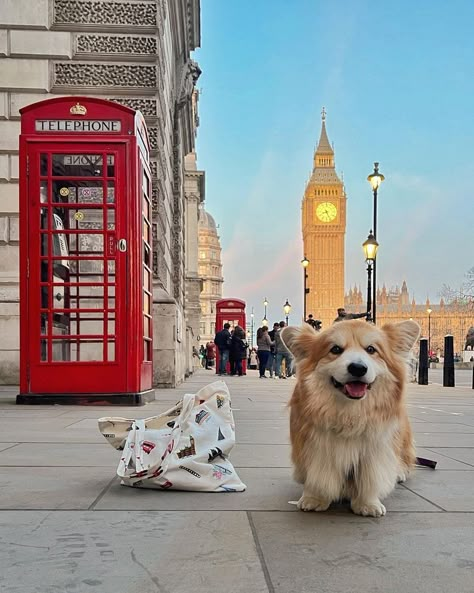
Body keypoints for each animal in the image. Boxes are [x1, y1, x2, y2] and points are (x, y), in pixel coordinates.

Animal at [280, 316, 420, 516]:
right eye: (335, 349)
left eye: (371, 349)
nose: (358, 368)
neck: (349, 413)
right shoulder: (316, 446)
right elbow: (318, 474)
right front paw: (314, 499)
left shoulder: (373, 451)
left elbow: (370, 478)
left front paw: (368, 504)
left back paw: (399, 473)